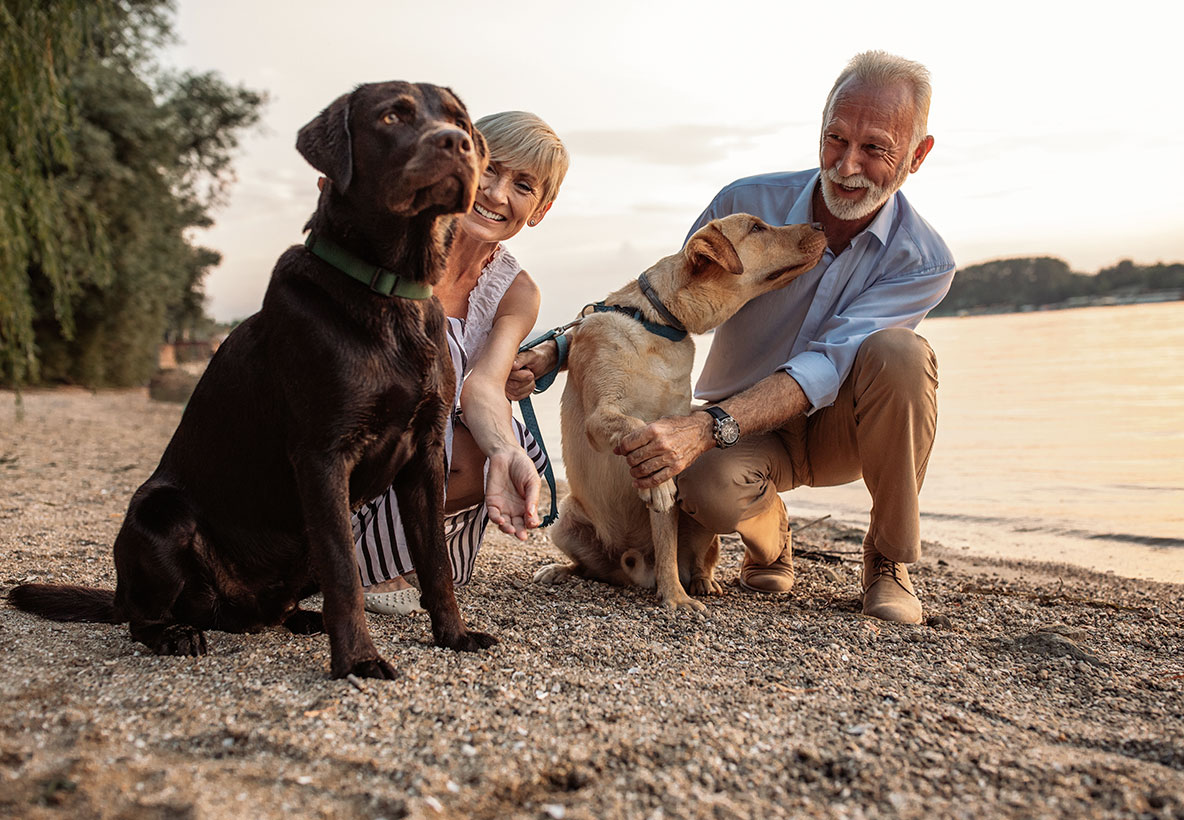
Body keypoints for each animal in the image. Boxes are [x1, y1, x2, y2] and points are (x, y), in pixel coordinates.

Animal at [5, 81, 494, 676]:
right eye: (391, 116)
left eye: (459, 120)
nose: (456, 143)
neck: (389, 290)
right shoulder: (322, 455)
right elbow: (346, 577)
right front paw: (357, 661)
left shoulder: (424, 453)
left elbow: (435, 565)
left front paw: (455, 636)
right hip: (161, 514)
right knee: (142, 618)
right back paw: (175, 633)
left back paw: (299, 619)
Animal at [535, 214, 824, 610]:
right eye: (757, 228)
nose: (821, 225)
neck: (656, 326)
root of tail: (633, 567)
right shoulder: (601, 416)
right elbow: (634, 424)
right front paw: (656, 489)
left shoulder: (668, 438)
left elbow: (666, 538)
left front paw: (675, 596)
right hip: (563, 522)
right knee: (590, 569)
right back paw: (561, 571)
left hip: (701, 527)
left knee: (696, 559)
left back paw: (700, 582)